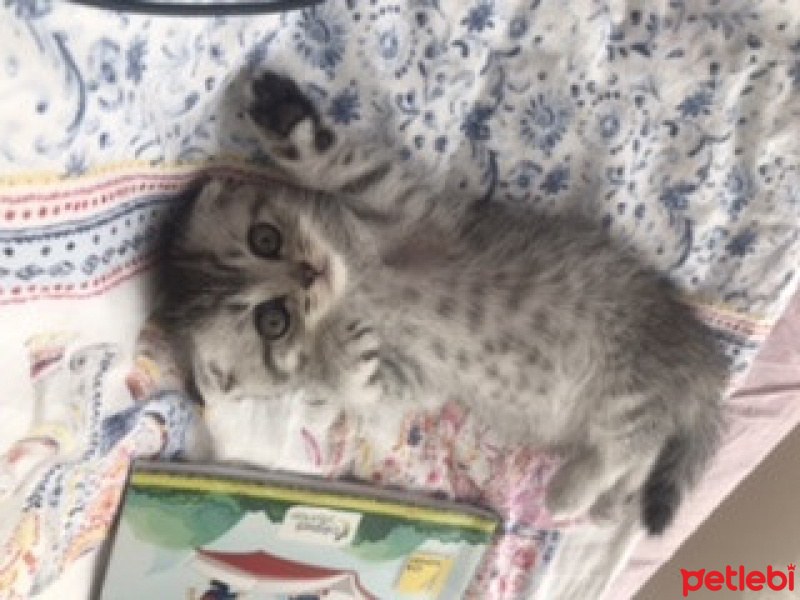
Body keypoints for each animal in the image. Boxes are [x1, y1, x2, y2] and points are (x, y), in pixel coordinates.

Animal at [159, 70, 728, 536]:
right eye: (273, 321)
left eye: (266, 239)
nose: (309, 273)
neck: (357, 280)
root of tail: (698, 356)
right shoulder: (415, 378)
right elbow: (363, 388)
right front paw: (341, 360)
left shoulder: (395, 203)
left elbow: (328, 157)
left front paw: (280, 112)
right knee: (639, 450)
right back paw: (599, 498)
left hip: (627, 372)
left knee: (636, 440)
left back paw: (575, 492)